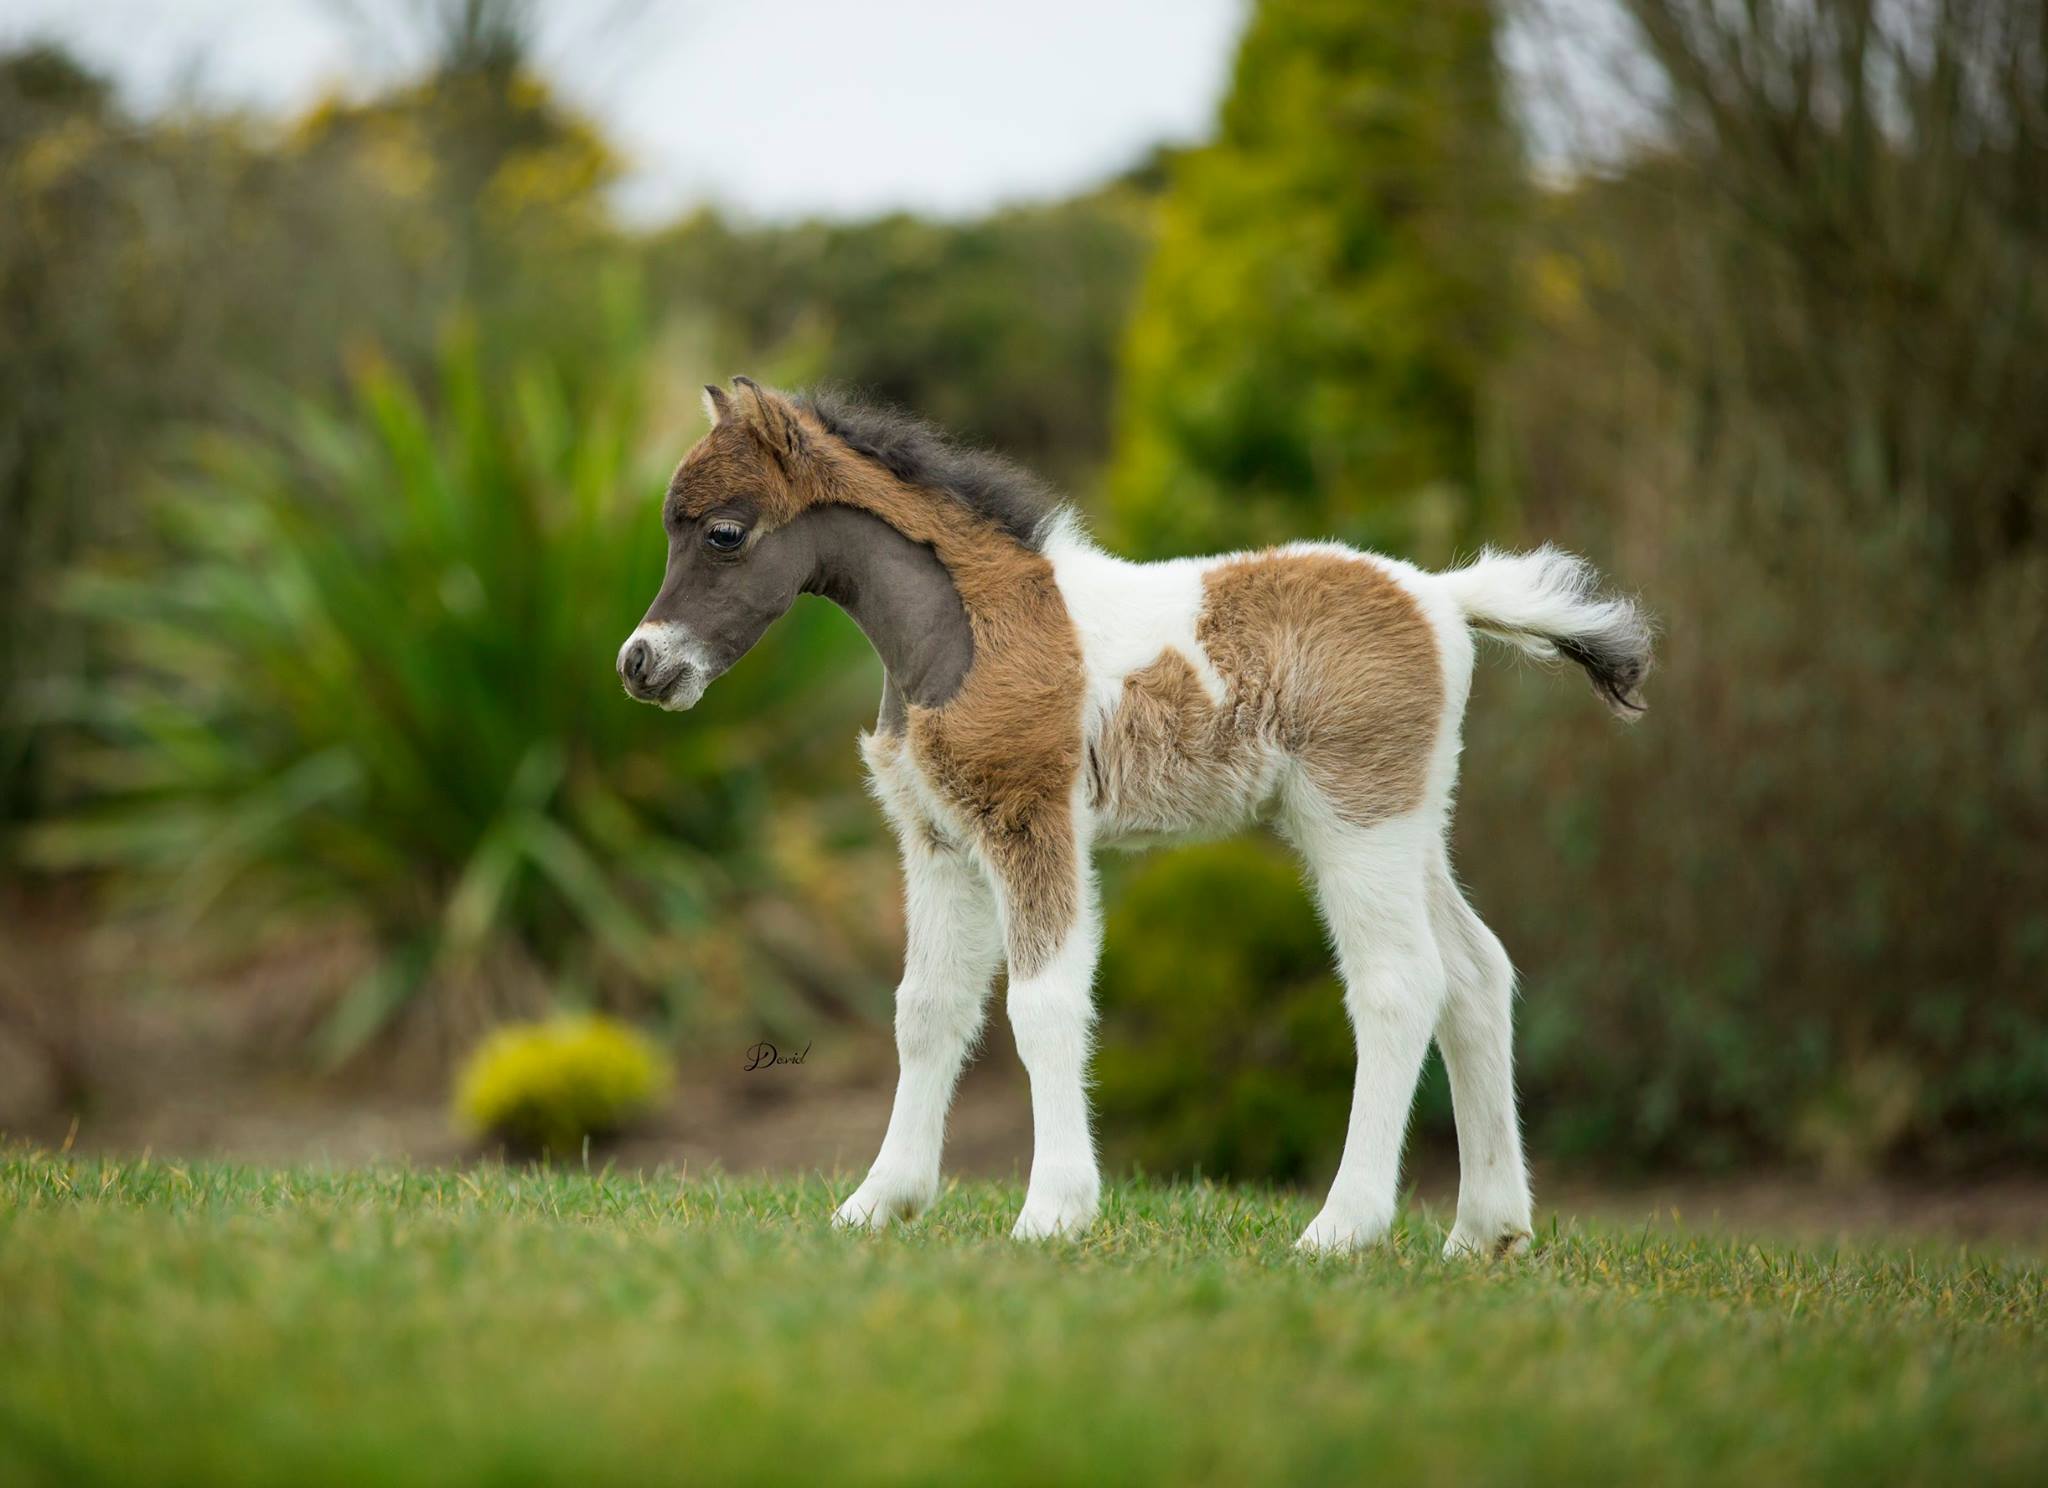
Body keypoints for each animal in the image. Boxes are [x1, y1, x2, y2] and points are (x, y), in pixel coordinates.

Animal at [618, 377, 1652, 1254]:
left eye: (723, 533)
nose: (639, 664)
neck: (964, 633)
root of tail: (1441, 593)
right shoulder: (939, 840)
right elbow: (927, 1009)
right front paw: (881, 1202)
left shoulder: (1031, 822)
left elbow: (1042, 1003)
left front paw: (1053, 1212)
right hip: (1409, 824)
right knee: (1478, 973)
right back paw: (1485, 1232)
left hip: (1357, 818)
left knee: (1401, 983)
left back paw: (1340, 1229)